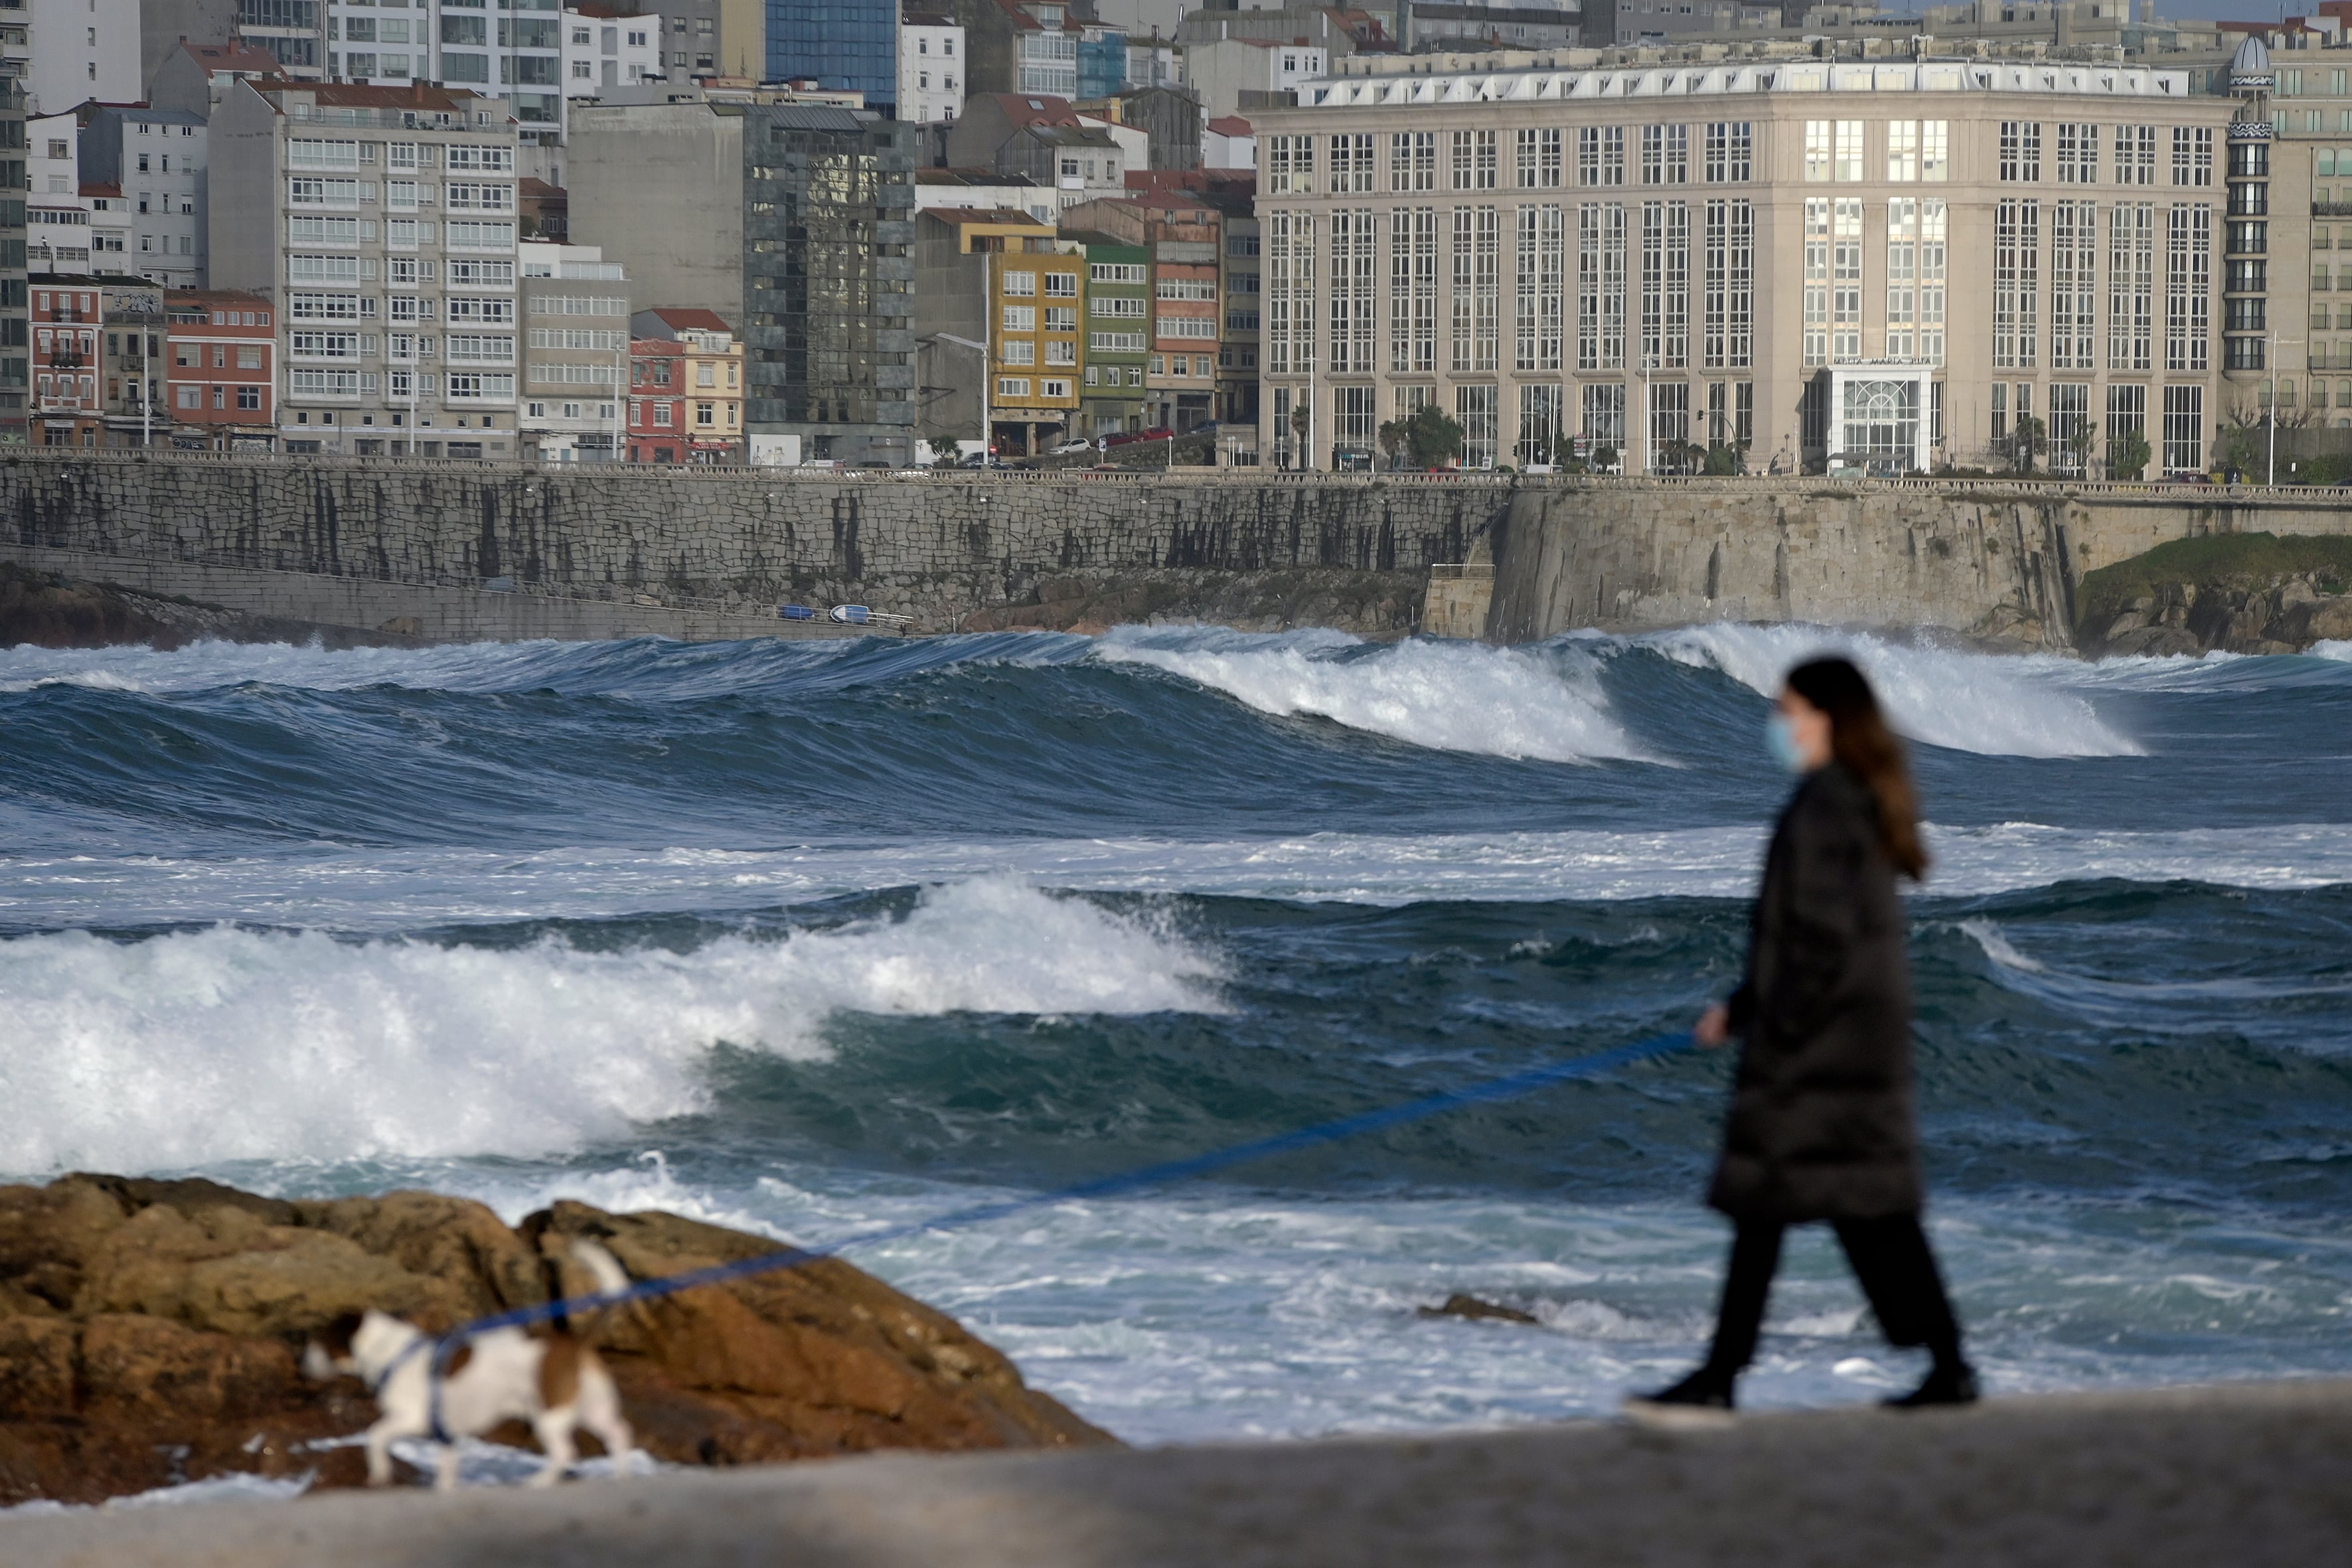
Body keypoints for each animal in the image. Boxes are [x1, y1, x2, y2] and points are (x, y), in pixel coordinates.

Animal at [303, 1241, 639, 1495]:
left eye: (318, 1342)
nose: (303, 1363)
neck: (393, 1353)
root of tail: (576, 1341)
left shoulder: (410, 1417)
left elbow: (375, 1435)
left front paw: (379, 1470)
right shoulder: (446, 1437)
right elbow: (446, 1470)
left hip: (548, 1413)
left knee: (565, 1453)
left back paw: (538, 1482)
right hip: (592, 1407)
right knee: (618, 1434)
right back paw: (621, 1478)